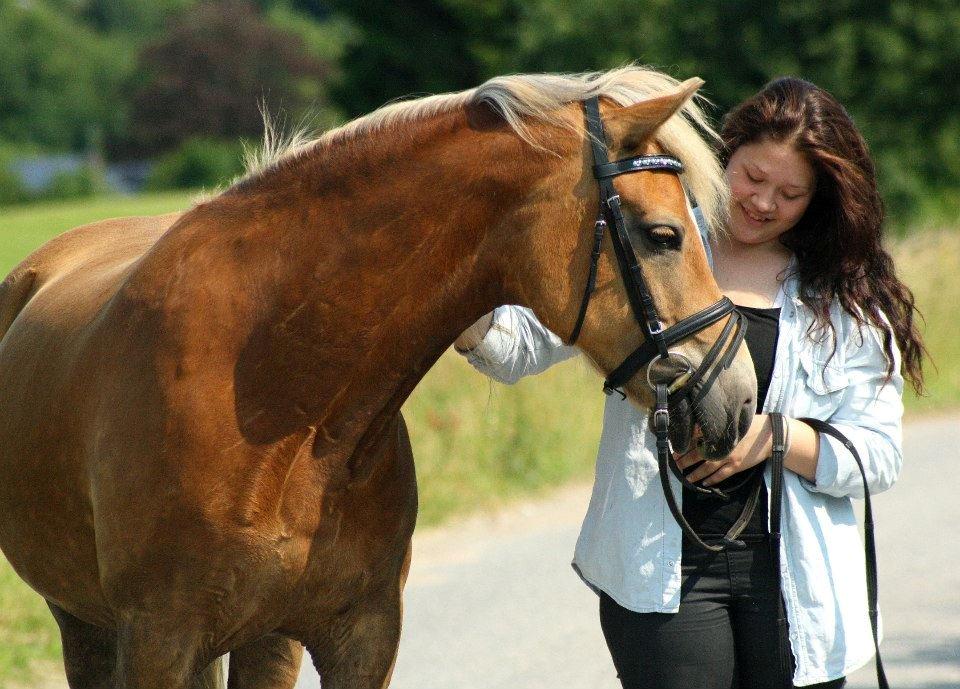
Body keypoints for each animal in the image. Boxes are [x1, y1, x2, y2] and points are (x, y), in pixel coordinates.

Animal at [0, 66, 755, 688]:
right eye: (664, 234)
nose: (741, 397)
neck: (278, 397)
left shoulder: (350, 636)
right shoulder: (158, 640)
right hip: (84, 622)